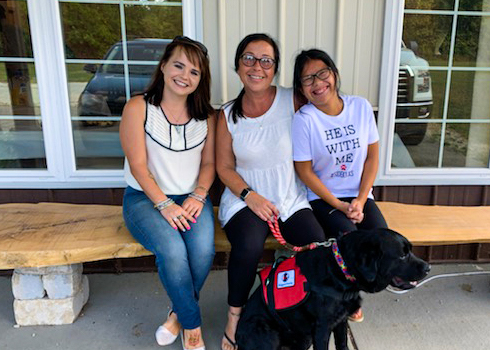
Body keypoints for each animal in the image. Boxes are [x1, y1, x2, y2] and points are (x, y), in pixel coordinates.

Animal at [234, 227, 428, 350]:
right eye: (402, 255)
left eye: (410, 250)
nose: (427, 267)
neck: (340, 269)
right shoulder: (322, 327)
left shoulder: (341, 320)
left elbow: (342, 344)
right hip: (266, 333)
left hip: (303, 339)